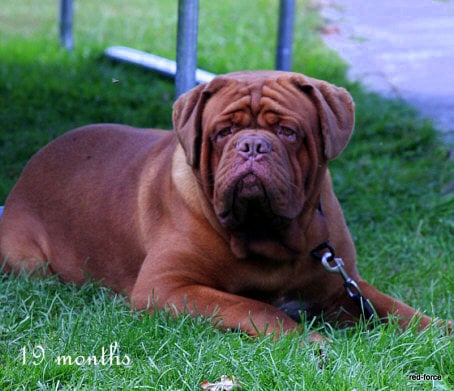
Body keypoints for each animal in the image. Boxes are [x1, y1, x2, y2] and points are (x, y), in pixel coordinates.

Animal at [0, 72, 440, 342]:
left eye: (288, 131)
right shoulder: (168, 287)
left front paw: (439, 328)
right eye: (223, 132)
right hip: (30, 264)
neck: (268, 236)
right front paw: (308, 341)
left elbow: (395, 308)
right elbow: (256, 308)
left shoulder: (341, 284)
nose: (252, 145)